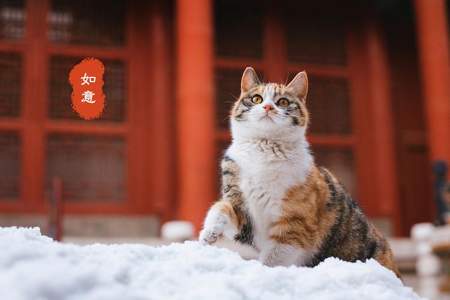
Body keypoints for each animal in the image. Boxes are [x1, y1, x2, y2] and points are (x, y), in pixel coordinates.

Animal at [199, 67, 400, 276]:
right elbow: (220, 207)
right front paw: (208, 234)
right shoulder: (242, 208)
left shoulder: (295, 226)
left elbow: (273, 259)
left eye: (283, 102)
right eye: (256, 99)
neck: (263, 151)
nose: (268, 107)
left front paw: (264, 272)